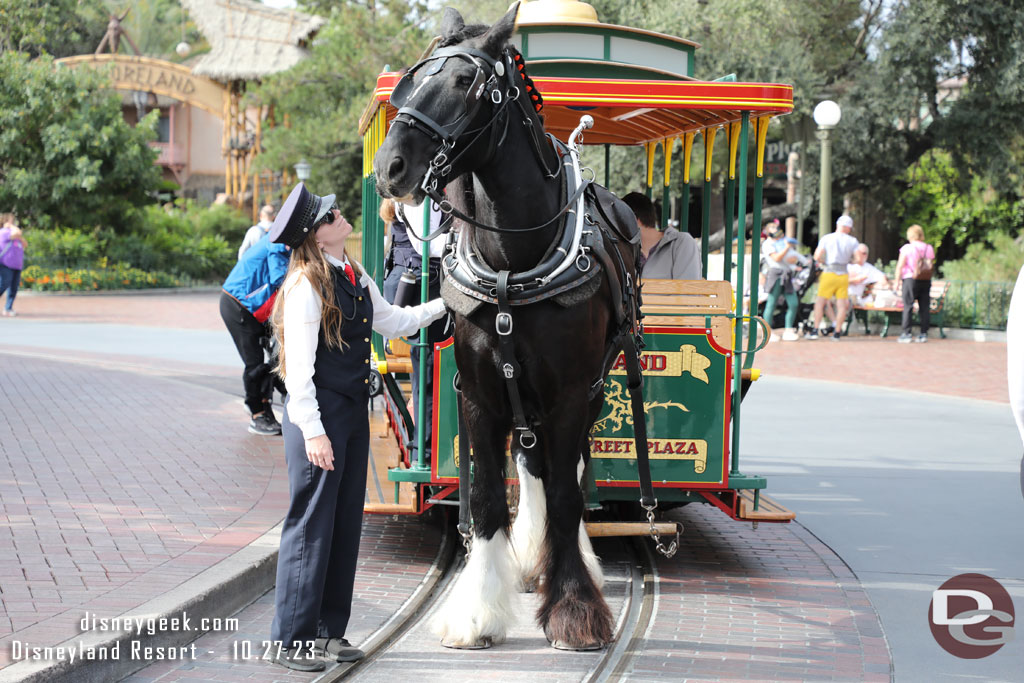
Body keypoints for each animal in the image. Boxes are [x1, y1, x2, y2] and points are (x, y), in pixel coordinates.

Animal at [374, 6, 638, 655]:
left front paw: (574, 608)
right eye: (410, 80)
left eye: (465, 83)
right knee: (532, 466)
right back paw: (528, 560)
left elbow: (568, 497)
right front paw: (476, 613)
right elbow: (490, 498)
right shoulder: (480, 394)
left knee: (569, 473)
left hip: (593, 392)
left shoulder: (570, 395)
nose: (389, 167)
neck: (514, 266)